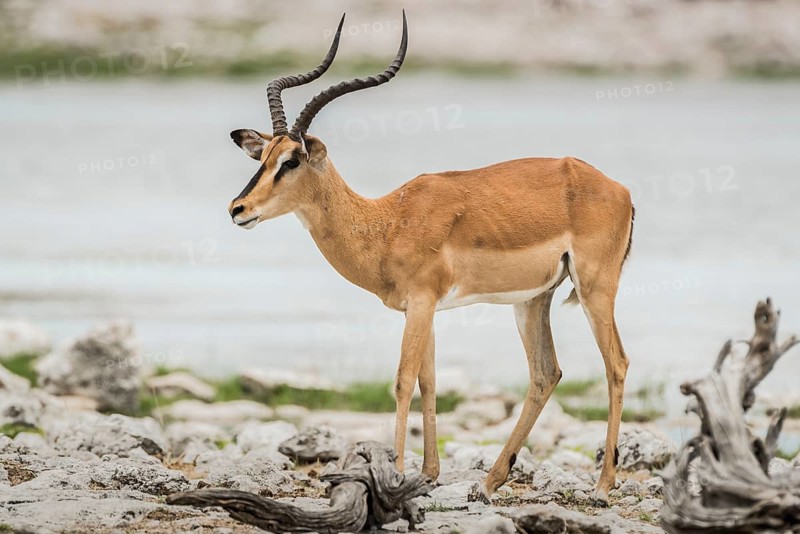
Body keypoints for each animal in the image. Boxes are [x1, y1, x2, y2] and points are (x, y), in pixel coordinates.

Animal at [227, 12, 634, 503]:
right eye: (263, 156)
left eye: (291, 160)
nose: (238, 209)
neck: (387, 222)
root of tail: (619, 189)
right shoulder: (423, 309)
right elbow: (429, 381)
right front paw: (428, 475)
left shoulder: (420, 304)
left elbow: (403, 381)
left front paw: (397, 472)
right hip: (532, 299)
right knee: (545, 373)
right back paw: (489, 481)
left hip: (596, 288)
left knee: (616, 364)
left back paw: (602, 484)